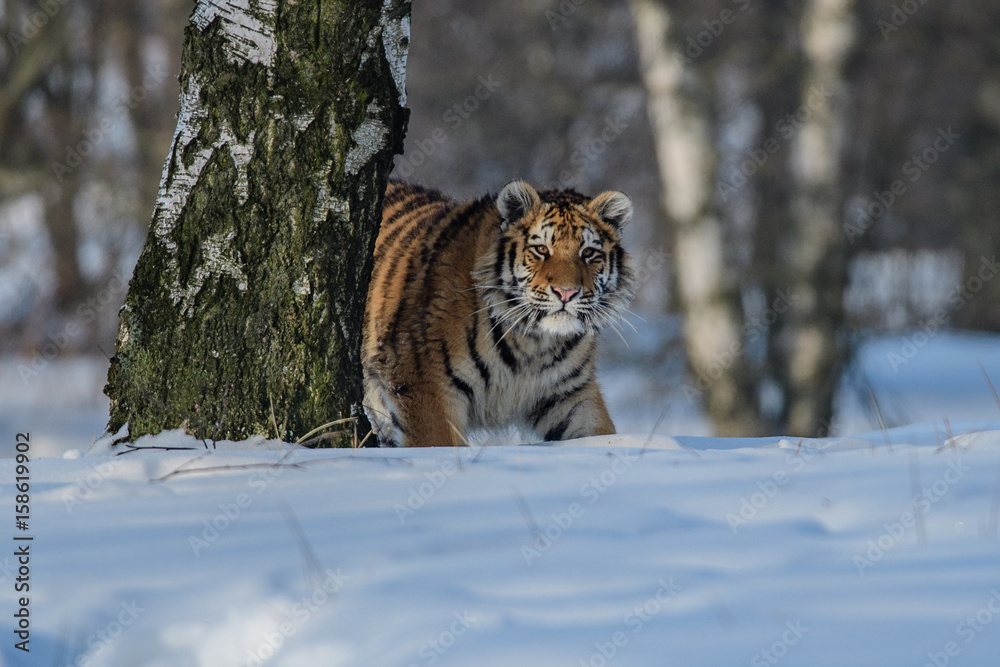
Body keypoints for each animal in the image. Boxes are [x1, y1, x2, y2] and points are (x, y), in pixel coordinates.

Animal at [361, 179, 634, 447]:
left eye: (588, 253)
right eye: (541, 250)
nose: (566, 292)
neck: (533, 342)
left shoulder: (569, 393)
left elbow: (601, 434)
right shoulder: (422, 383)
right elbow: (437, 443)